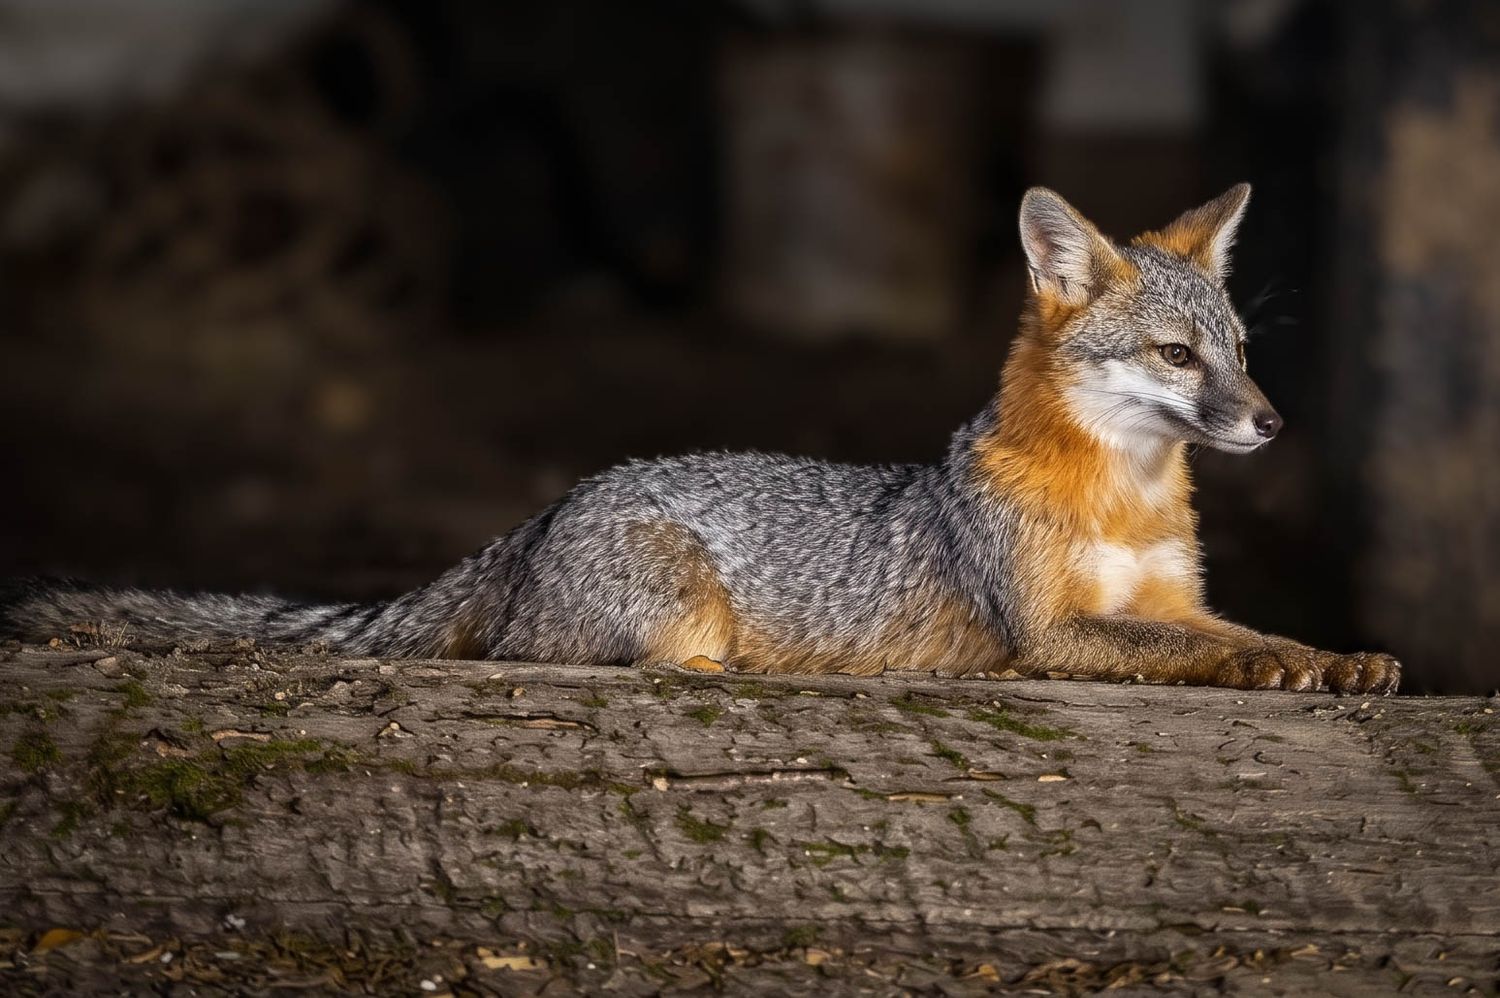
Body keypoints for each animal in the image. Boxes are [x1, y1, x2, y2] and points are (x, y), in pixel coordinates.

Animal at [2, 184, 1400, 693]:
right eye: (1177, 358)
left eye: (1242, 346)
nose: (1273, 419)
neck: (1123, 498)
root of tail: (551, 507)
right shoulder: (1052, 632)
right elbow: (1191, 649)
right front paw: (1278, 668)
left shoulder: (1172, 595)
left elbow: (1238, 628)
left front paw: (1332, 655)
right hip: (688, 620)